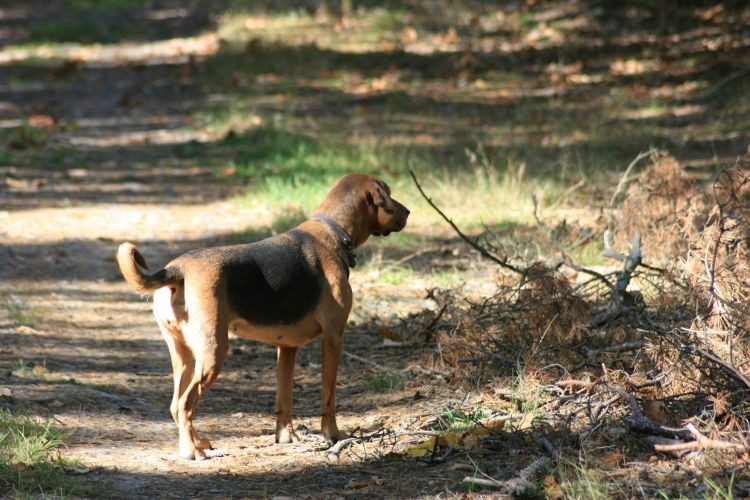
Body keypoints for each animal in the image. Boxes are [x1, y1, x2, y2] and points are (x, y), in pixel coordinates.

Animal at [116, 174, 412, 458]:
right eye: (388, 192)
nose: (408, 211)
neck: (334, 231)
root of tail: (176, 269)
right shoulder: (333, 337)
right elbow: (328, 397)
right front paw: (334, 436)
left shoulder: (287, 348)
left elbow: (284, 398)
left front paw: (286, 437)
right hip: (213, 353)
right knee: (184, 404)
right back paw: (193, 451)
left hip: (184, 357)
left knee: (175, 405)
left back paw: (199, 442)